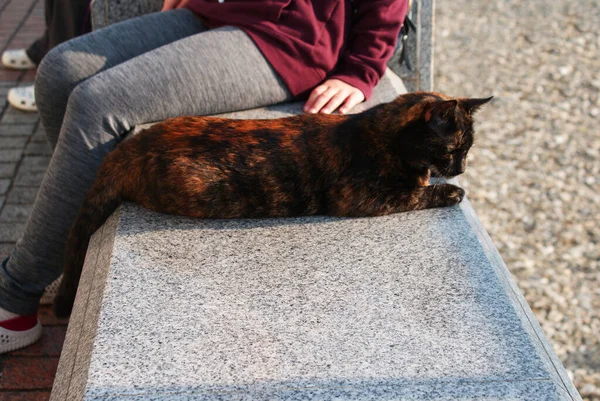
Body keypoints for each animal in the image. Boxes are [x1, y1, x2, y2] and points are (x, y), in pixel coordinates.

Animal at [52, 90, 492, 316]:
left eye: (468, 150)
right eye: (455, 148)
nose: (462, 168)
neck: (382, 134)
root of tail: (128, 148)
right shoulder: (362, 196)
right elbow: (416, 193)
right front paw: (449, 191)